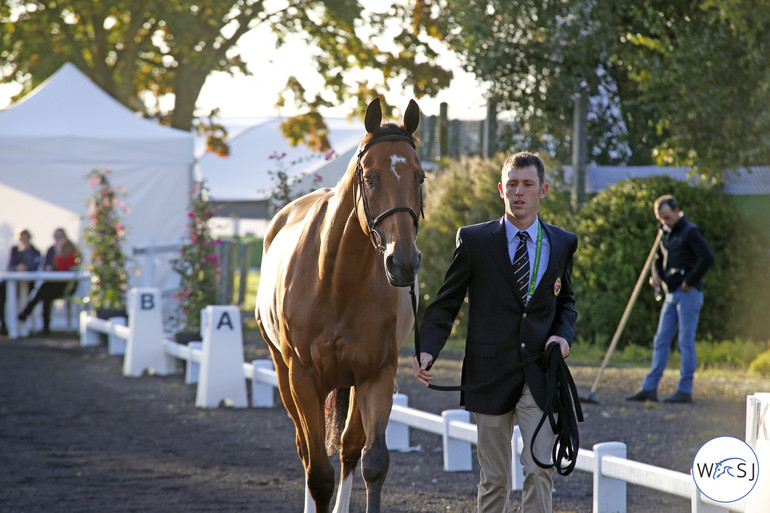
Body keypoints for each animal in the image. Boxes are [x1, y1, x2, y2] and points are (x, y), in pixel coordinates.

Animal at [258, 97, 426, 512]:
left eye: (419, 178)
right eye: (370, 178)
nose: (403, 263)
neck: (336, 283)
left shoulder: (377, 374)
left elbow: (373, 462)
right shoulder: (302, 378)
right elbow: (318, 472)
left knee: (350, 448)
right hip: (283, 373)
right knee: (306, 451)